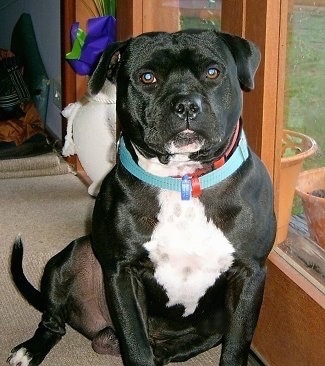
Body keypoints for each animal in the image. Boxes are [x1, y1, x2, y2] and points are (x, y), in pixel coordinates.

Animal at [7, 30, 274, 364]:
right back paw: (30, 350)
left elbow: (237, 345)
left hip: (216, 321)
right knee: (54, 320)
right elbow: (135, 343)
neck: (182, 181)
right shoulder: (123, 273)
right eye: (147, 77)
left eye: (213, 72)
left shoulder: (249, 275)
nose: (186, 105)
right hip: (71, 258)